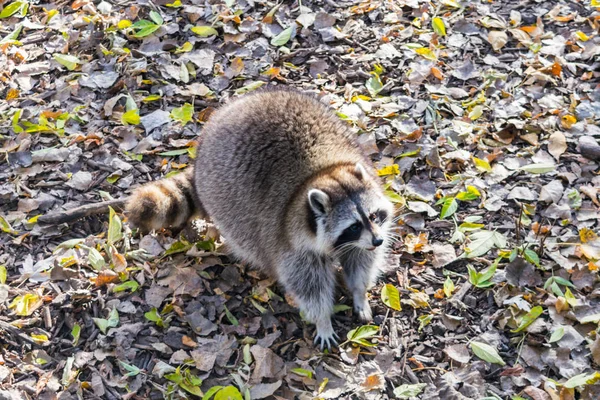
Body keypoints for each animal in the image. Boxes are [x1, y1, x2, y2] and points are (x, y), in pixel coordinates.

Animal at [127, 88, 394, 350]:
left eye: (373, 215)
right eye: (354, 226)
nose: (378, 241)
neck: (322, 175)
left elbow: (361, 260)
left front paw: (359, 293)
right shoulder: (290, 242)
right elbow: (308, 287)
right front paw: (323, 319)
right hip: (223, 195)